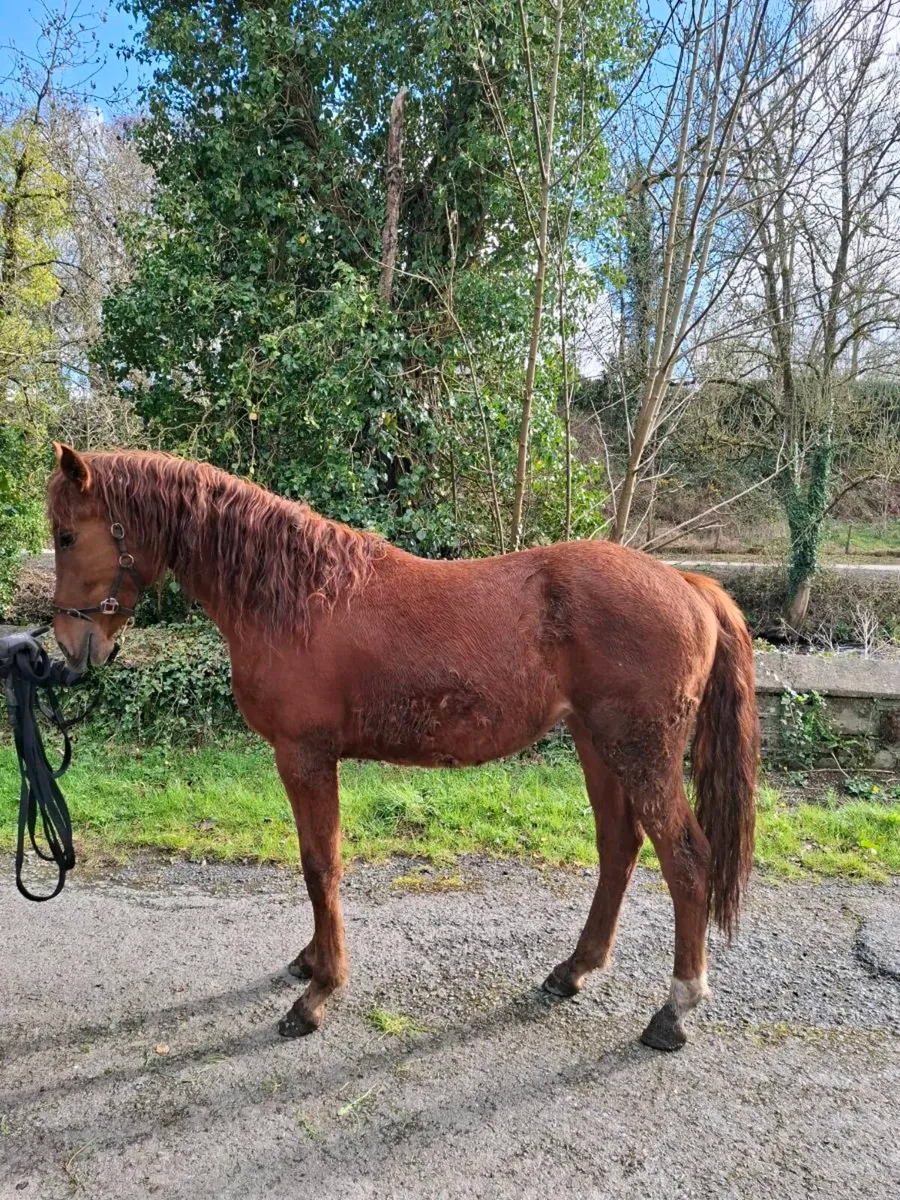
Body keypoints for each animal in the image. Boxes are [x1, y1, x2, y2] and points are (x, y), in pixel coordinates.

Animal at [47, 443, 759, 1051]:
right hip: (597, 744)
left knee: (686, 861)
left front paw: (319, 993)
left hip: (641, 752)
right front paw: (312, 962)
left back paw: (674, 1010)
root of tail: (689, 585)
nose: (70, 647)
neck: (295, 595)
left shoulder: (304, 756)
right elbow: (317, 861)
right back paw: (574, 970)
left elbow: (321, 866)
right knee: (619, 847)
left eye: (65, 534)